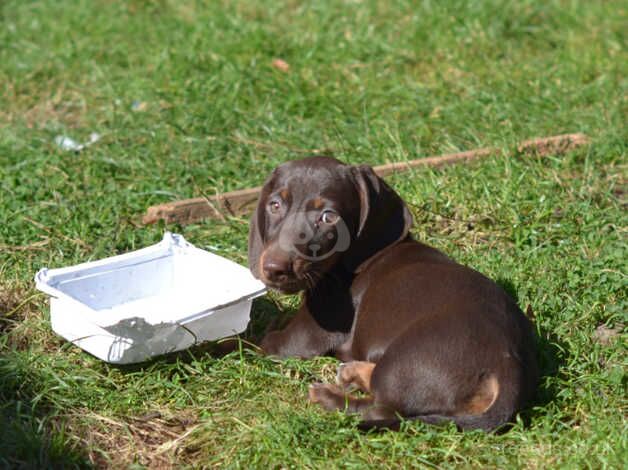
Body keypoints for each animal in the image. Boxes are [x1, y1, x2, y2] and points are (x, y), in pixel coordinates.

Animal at [248, 156, 536, 432]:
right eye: (275, 205)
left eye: (329, 217)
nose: (274, 269)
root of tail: (508, 364)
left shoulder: (307, 334)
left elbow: (258, 342)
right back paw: (353, 372)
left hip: (403, 362)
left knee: (382, 410)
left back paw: (330, 397)